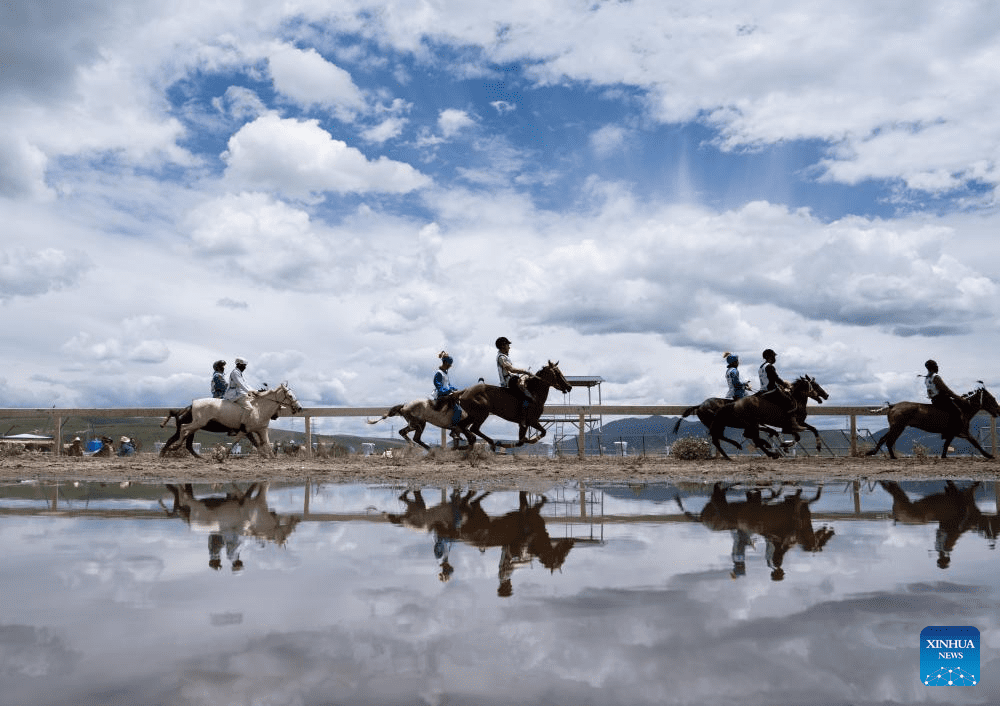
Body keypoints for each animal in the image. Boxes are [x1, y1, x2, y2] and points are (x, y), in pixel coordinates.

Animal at [158, 382, 300, 460]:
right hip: (197, 424)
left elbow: (265, 443)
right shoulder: (246, 430)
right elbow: (244, 442)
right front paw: (225, 454)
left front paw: (270, 457)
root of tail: (191, 405)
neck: (258, 408)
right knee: (183, 431)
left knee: (185, 439)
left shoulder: (261, 430)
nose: (299, 408)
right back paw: (173, 449)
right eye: (290, 395)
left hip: (196, 426)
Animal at [864, 382, 996, 460]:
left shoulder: (954, 433)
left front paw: (943, 456)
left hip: (895, 427)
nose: (998, 411)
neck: (963, 409)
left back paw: (872, 452)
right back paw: (891, 456)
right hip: (898, 427)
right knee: (888, 441)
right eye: (992, 398)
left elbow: (946, 445)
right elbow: (975, 442)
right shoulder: (960, 432)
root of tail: (893, 405)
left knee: (883, 439)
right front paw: (988, 455)